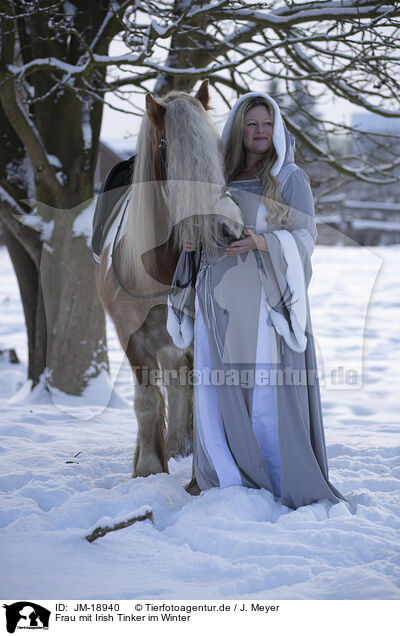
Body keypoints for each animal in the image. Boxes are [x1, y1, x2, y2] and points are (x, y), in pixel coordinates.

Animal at [96, 79, 244, 494]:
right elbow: (146, 402)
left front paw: (199, 479)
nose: (228, 229)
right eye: (166, 146)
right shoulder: (133, 338)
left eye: (217, 147)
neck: (156, 268)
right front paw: (148, 469)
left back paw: (182, 445)